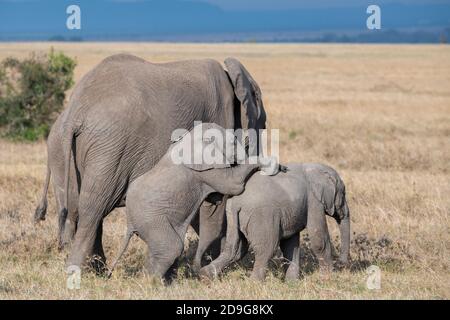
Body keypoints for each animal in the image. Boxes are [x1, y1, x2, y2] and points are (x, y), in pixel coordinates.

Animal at [200, 164, 352, 282]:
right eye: (344, 193)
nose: (342, 264)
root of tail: (237, 201)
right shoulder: (314, 201)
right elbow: (319, 240)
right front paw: (329, 279)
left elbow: (291, 245)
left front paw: (292, 283)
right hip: (262, 217)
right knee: (267, 248)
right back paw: (254, 283)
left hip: (232, 215)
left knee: (234, 249)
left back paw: (205, 276)